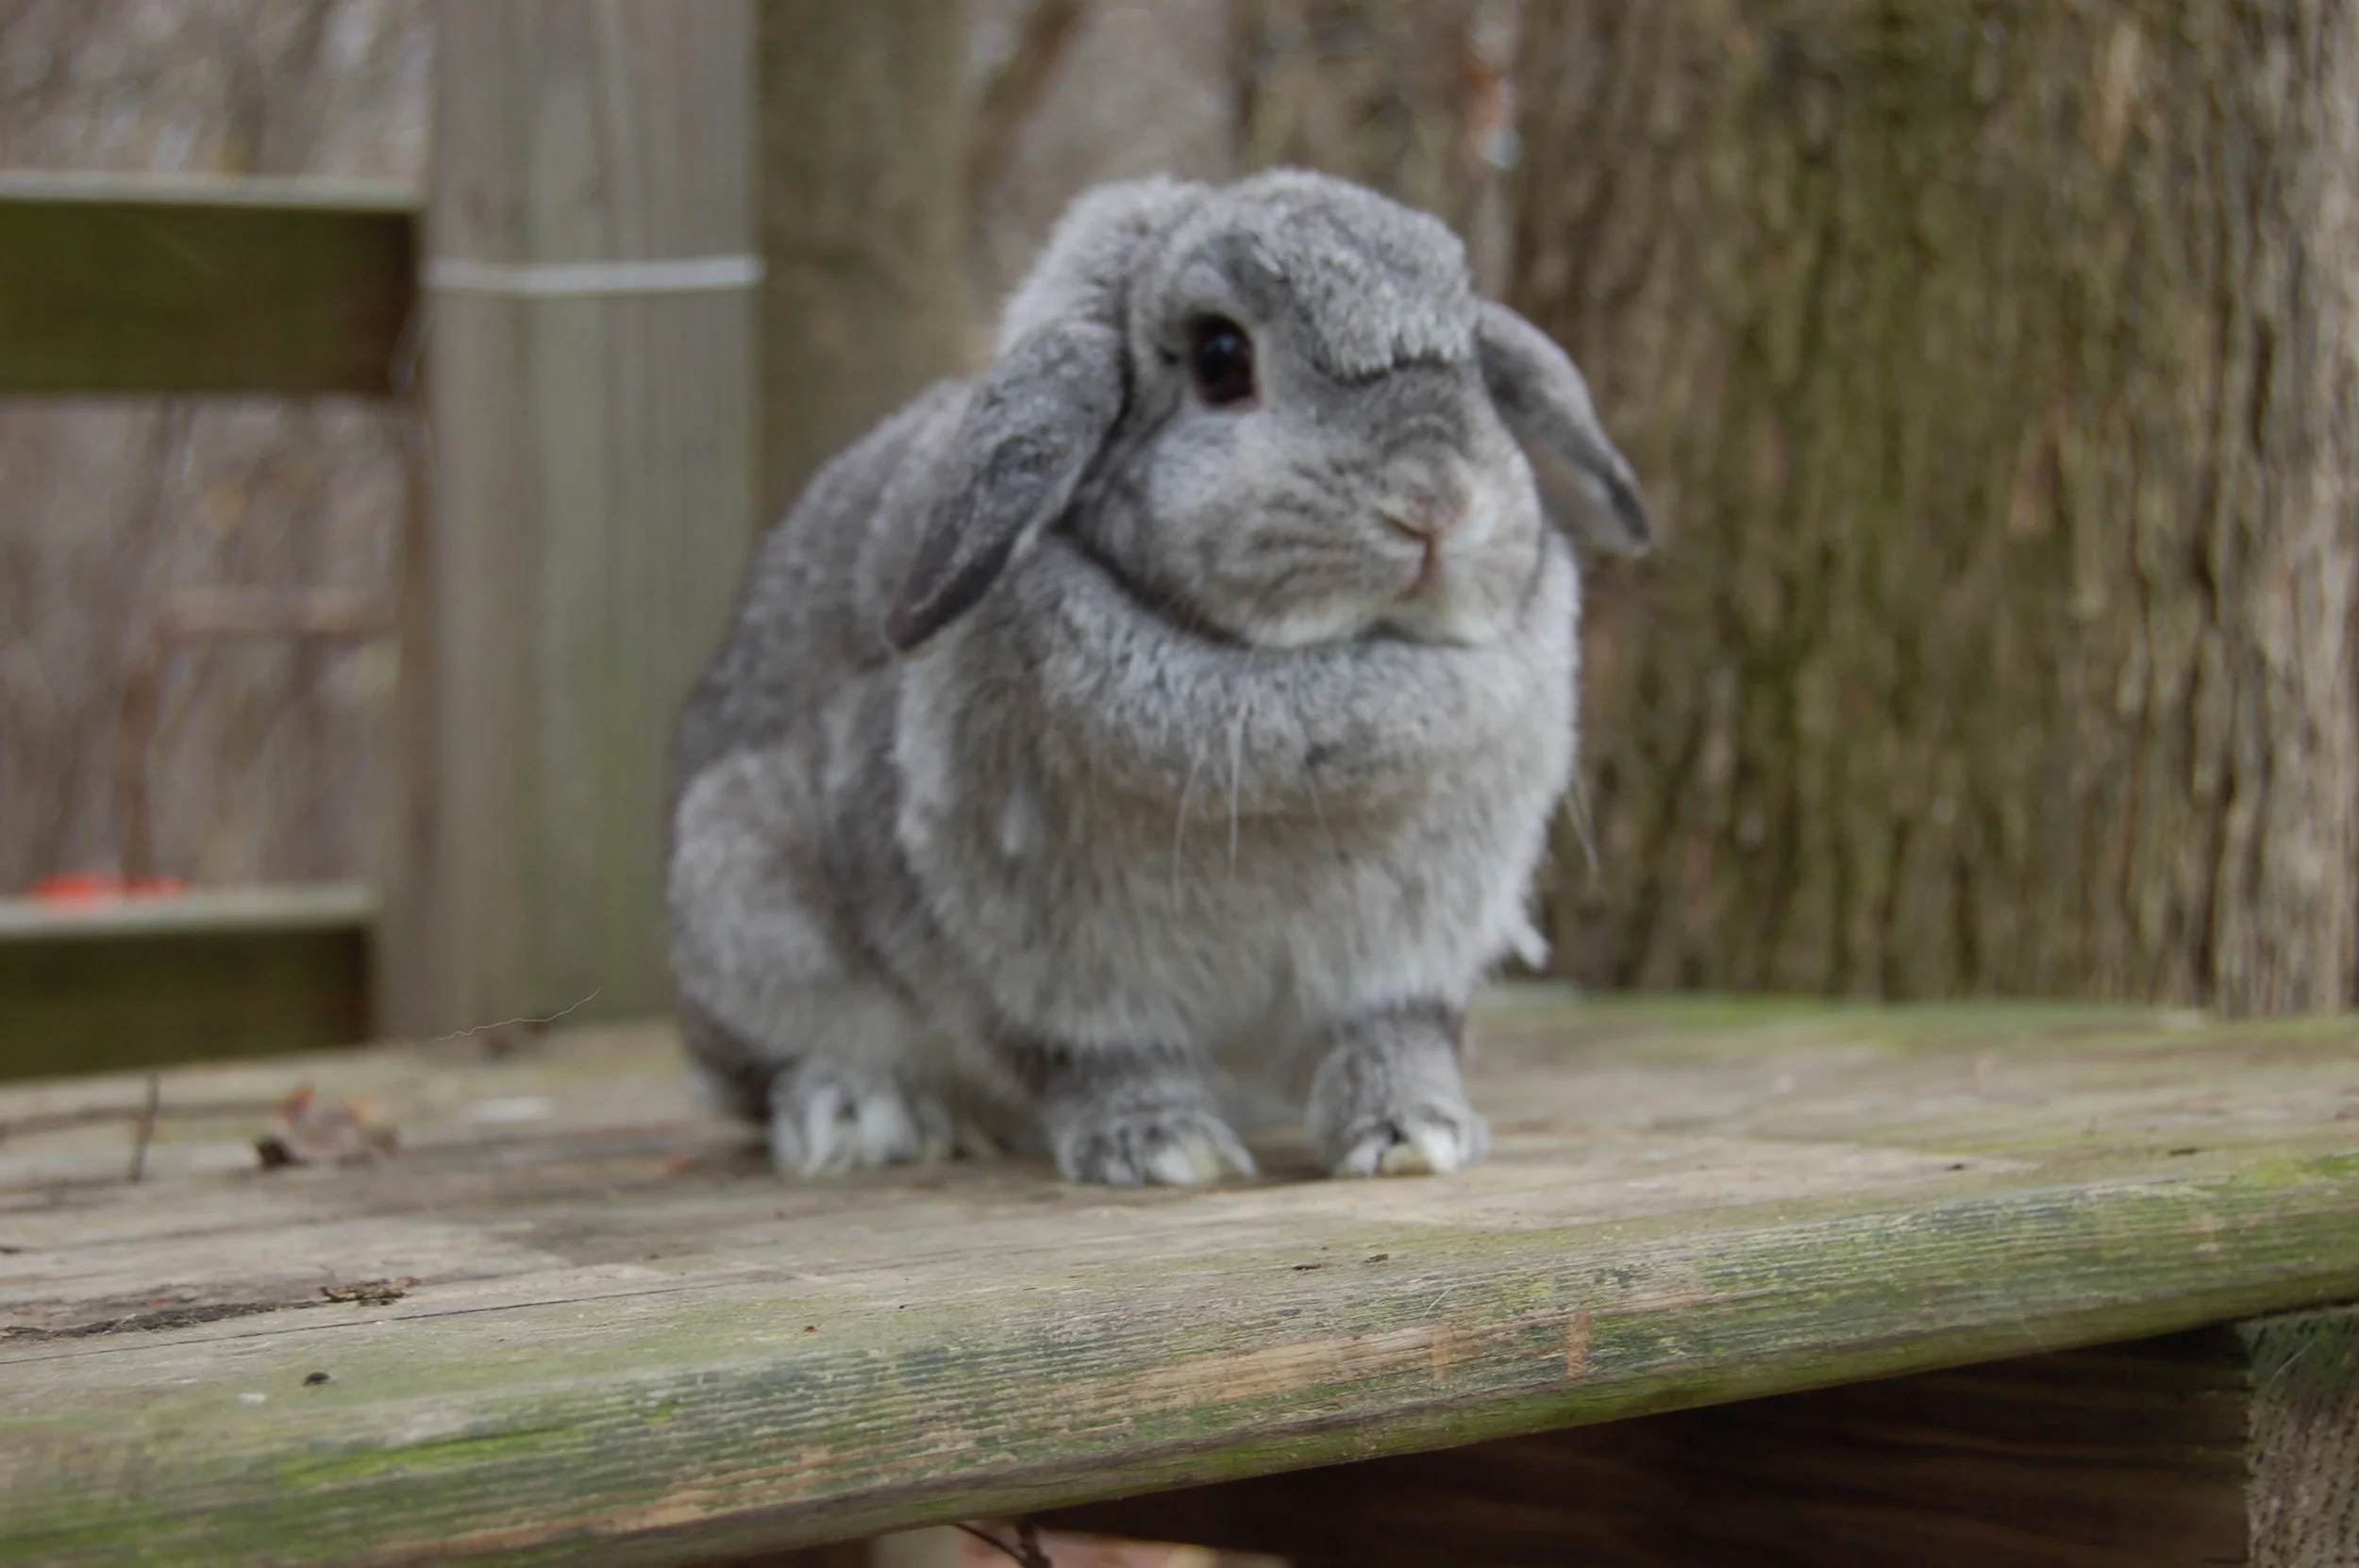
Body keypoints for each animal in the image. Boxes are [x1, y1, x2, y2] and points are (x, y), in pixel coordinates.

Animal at [668, 170, 1649, 1186]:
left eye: (1473, 356)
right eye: (1221, 357)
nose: (1434, 500)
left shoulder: (1409, 959)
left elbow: (1395, 1036)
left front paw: (1415, 1135)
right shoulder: (1038, 967)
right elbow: (1097, 1057)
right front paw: (1164, 1149)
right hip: (739, 899)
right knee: (774, 1070)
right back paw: (864, 1119)